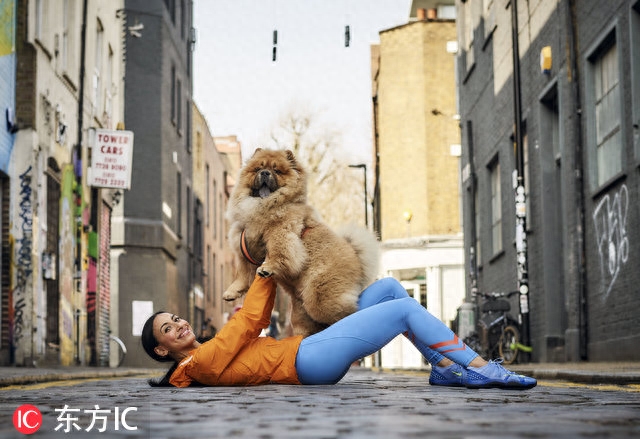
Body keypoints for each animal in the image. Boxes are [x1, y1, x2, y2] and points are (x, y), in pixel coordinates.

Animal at [224, 148, 380, 336]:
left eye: (276, 170)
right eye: (258, 169)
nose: (265, 172)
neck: (263, 205)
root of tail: (356, 257)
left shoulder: (281, 233)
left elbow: (279, 253)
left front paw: (267, 268)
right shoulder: (245, 251)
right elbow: (242, 276)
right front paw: (231, 292)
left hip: (320, 297)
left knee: (348, 313)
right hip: (301, 311)